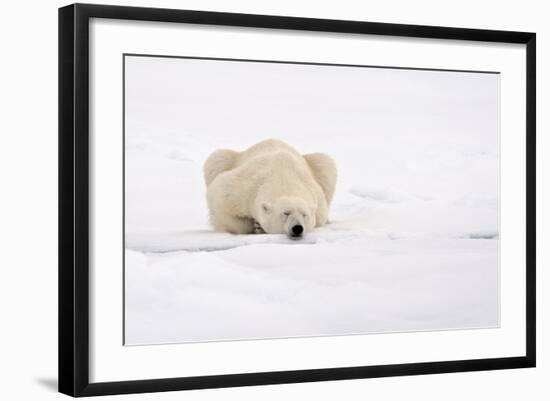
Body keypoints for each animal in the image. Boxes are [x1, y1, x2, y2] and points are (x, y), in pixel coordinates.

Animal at [205, 138, 338, 238]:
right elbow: (220, 200)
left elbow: (319, 219)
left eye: (304, 214)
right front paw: (256, 226)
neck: (282, 176)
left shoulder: (317, 199)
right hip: (227, 159)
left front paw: (259, 227)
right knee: (216, 159)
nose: (297, 228)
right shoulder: (244, 188)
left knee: (325, 163)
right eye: (285, 213)